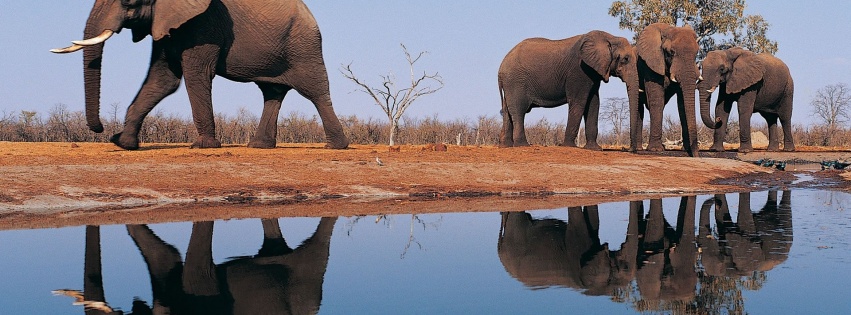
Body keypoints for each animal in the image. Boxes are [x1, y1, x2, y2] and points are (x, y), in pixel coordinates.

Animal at [52, 0, 350, 151]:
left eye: (129, 2)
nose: (101, 128)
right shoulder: (168, 24)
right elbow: (163, 80)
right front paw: (123, 144)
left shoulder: (203, 24)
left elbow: (196, 75)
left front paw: (203, 146)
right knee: (271, 92)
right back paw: (258, 147)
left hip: (304, 46)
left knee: (315, 91)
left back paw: (336, 147)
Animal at [500, 30, 640, 149]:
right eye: (625, 59)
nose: (628, 149)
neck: (609, 37)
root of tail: (500, 68)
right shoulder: (579, 70)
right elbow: (579, 102)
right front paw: (569, 146)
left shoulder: (593, 72)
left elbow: (594, 103)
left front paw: (594, 148)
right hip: (516, 81)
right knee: (519, 110)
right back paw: (522, 145)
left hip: (510, 84)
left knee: (507, 111)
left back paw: (507, 146)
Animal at [636, 22, 704, 157]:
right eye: (671, 52)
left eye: (696, 53)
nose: (697, 155)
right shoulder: (651, 65)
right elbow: (657, 100)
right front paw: (655, 150)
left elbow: (682, 104)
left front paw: (686, 149)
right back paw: (639, 148)